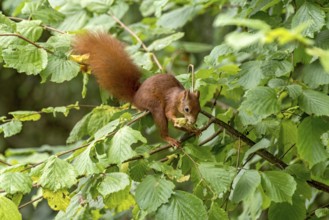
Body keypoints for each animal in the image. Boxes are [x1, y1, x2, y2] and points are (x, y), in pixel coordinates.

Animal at [72, 32, 200, 146]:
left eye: (199, 110)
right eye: (187, 109)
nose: (193, 121)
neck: (178, 97)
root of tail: (135, 98)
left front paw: (193, 129)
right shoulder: (171, 103)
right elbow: (169, 114)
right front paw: (179, 121)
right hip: (154, 104)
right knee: (161, 120)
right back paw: (168, 138)